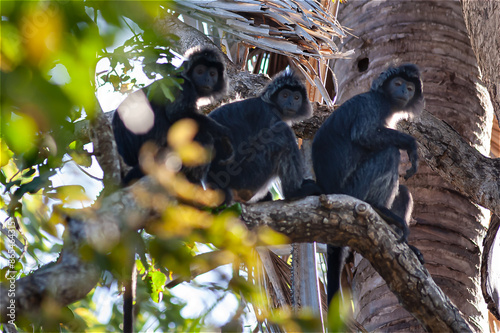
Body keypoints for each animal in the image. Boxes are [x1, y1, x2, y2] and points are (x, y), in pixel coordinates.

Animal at [112, 44, 231, 184]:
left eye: (212, 74)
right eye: (200, 71)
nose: (206, 78)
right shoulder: (182, 85)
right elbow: (177, 114)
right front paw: (224, 133)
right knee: (203, 136)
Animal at [208, 70, 320, 202]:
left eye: (297, 97)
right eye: (285, 95)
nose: (291, 102)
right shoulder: (269, 116)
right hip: (246, 178)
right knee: (283, 133)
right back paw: (294, 192)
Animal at [312, 63, 426, 304]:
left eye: (410, 87)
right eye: (397, 83)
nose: (403, 91)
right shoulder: (373, 105)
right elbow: (363, 135)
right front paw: (411, 144)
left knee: (403, 191)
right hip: (353, 188)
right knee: (388, 152)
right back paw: (379, 209)